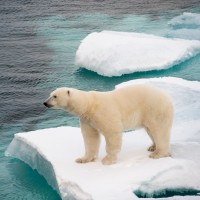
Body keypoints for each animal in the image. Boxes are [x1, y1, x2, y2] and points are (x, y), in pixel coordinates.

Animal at [43, 85, 173, 165]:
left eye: (55, 96)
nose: (45, 103)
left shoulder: (103, 112)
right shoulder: (87, 120)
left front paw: (107, 160)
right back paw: (153, 147)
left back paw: (158, 153)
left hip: (155, 109)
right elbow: (90, 137)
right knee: (150, 130)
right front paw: (83, 159)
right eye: (50, 94)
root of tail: (167, 96)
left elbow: (112, 132)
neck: (89, 105)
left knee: (159, 130)